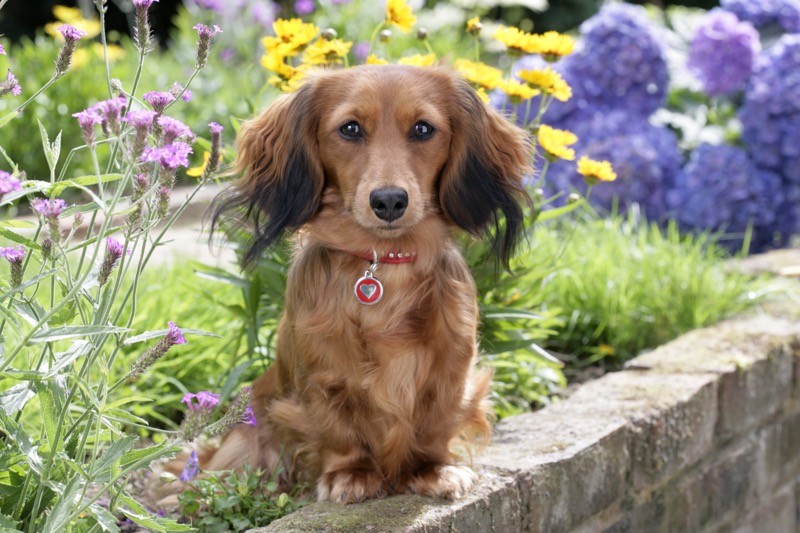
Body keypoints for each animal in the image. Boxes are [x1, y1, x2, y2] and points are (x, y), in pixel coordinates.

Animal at [200, 64, 532, 500]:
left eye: (423, 129)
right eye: (351, 128)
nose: (389, 201)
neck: (384, 264)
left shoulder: (451, 370)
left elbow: (435, 425)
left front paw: (432, 469)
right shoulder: (322, 376)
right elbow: (338, 430)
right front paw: (351, 473)